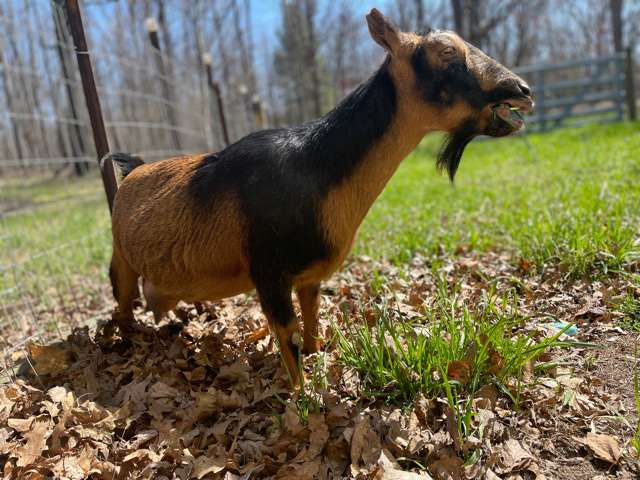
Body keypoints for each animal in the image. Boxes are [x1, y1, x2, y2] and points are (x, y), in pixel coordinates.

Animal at [106, 9, 533, 387]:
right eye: (445, 52)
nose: (523, 91)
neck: (313, 169)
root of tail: (132, 168)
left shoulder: (308, 277)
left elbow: (311, 325)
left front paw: (318, 363)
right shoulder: (269, 273)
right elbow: (290, 338)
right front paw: (301, 400)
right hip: (121, 258)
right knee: (122, 302)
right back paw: (125, 344)